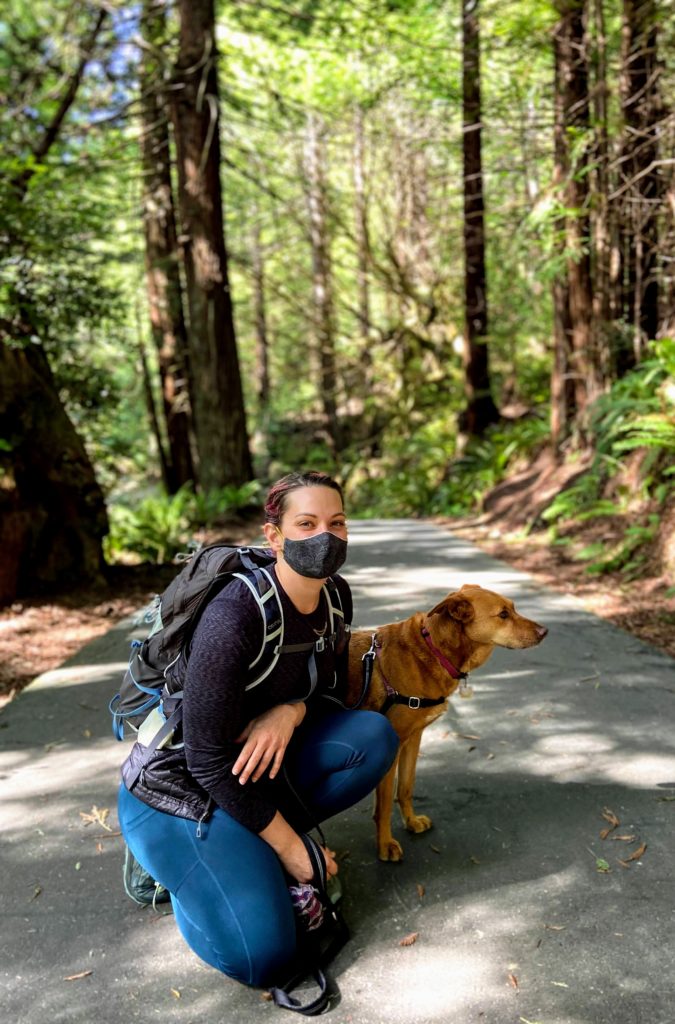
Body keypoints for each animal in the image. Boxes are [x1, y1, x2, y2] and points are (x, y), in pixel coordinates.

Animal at [346, 589, 544, 860]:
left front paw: (411, 821)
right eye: (503, 614)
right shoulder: (393, 745)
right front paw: (385, 844)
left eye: (513, 609)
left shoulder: (413, 739)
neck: (434, 650)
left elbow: (406, 787)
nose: (545, 631)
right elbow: (384, 804)